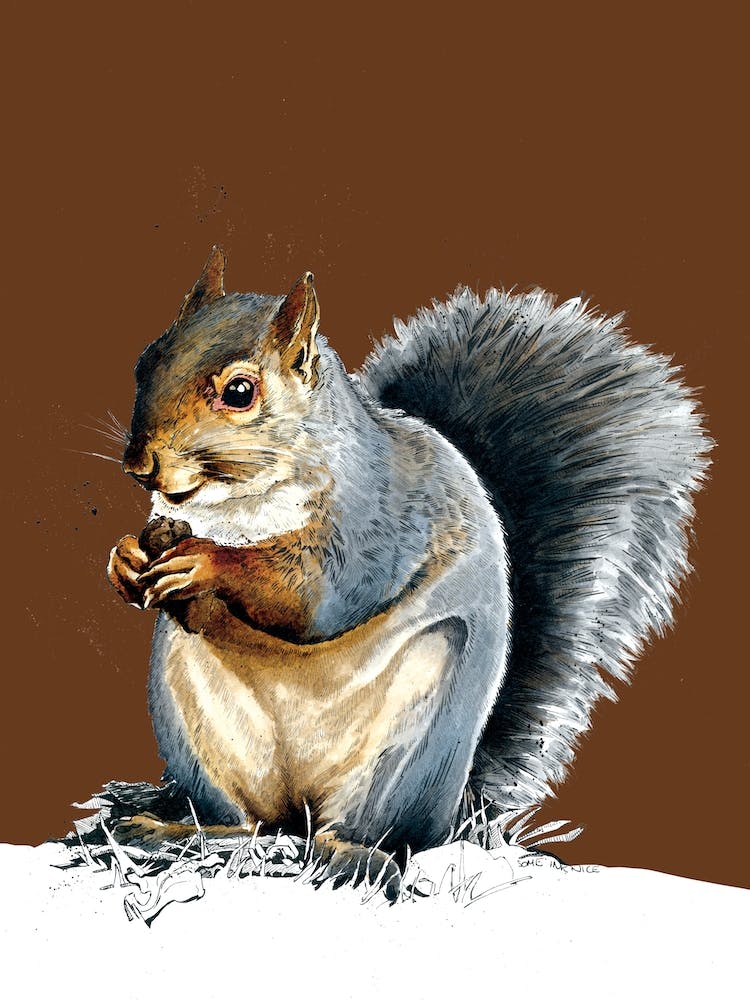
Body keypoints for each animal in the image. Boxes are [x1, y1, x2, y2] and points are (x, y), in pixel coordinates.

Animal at [107, 246, 712, 890]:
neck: (236, 506)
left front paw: (205, 561)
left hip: (413, 733)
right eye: (145, 359)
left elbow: (315, 596)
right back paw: (177, 831)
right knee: (250, 822)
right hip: (197, 728)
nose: (140, 463)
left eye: (240, 392)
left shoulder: (374, 524)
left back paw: (351, 855)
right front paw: (124, 559)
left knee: (374, 832)